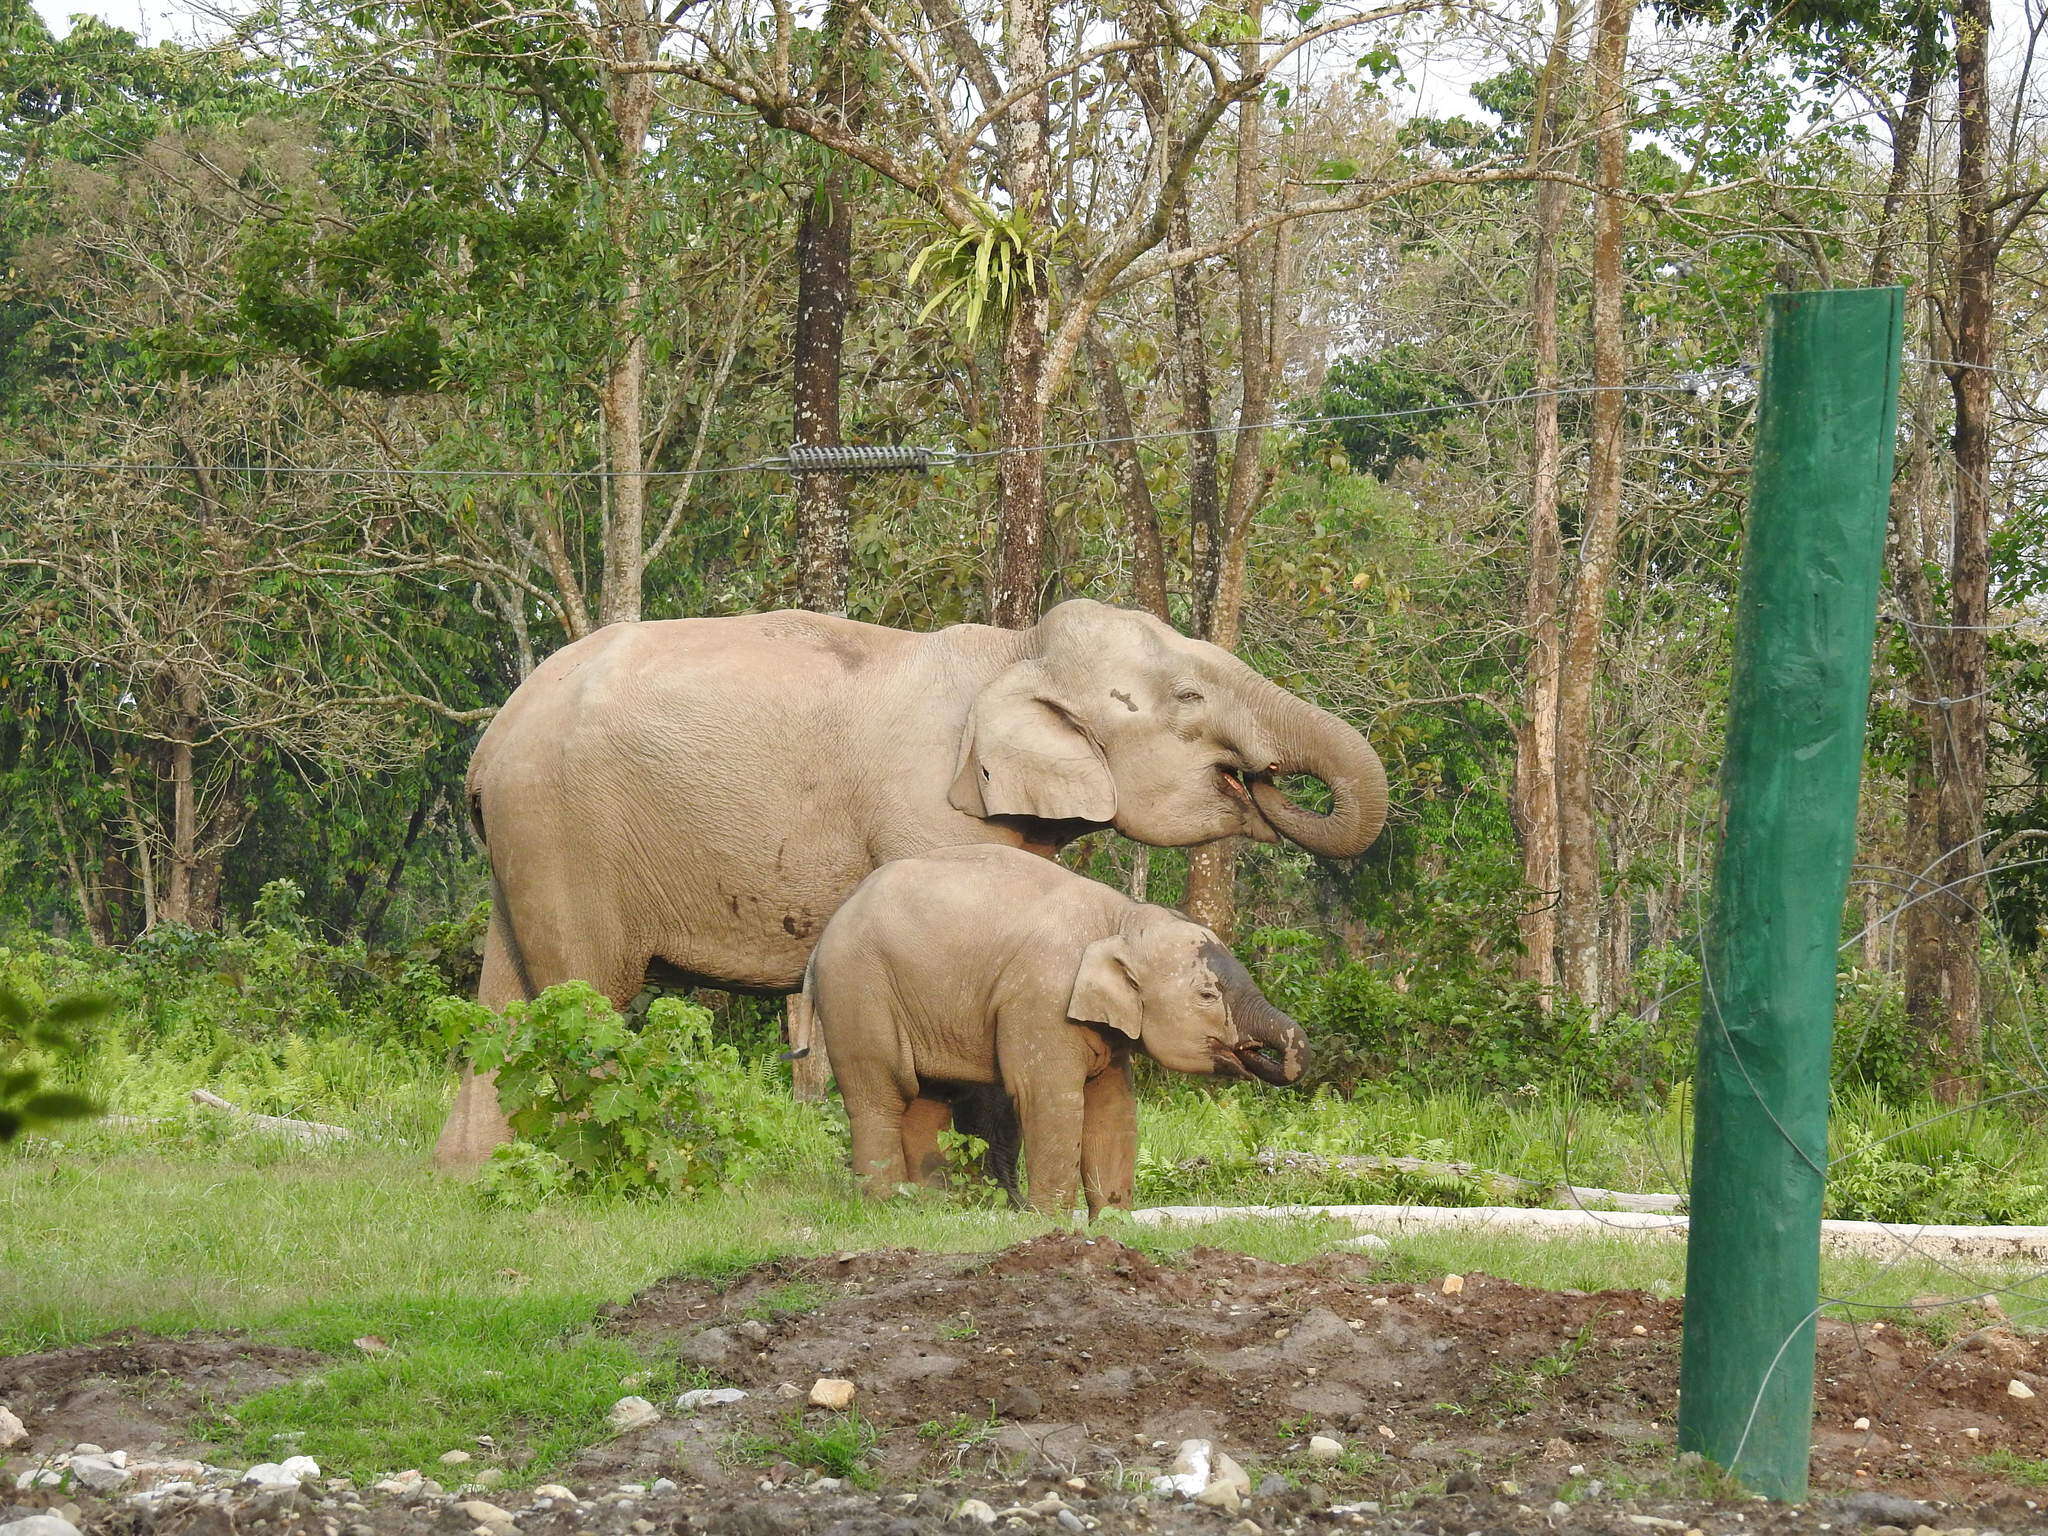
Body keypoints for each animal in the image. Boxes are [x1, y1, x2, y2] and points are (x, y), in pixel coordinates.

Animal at [436, 602, 1392, 1163]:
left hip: (527, 849)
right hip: (566, 832)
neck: (1011, 651)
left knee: (505, 1006)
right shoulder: (928, 807)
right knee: (583, 998)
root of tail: (487, 746)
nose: (1261, 783)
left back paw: (476, 1174)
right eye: (1189, 698)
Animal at [802, 843, 1310, 1212]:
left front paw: (1112, 1222)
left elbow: (1113, 1108)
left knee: (928, 1099)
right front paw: (1050, 1221)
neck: (1121, 917)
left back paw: (932, 1207)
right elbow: (1050, 1098)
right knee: (881, 1095)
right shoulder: (1042, 997)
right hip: (858, 991)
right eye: (1207, 994)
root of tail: (823, 938)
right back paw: (885, 1205)